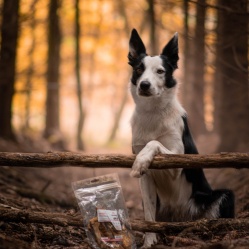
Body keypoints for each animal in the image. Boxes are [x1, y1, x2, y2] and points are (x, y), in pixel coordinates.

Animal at [127, 29, 234, 247]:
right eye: (139, 69)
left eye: (160, 71)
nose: (144, 85)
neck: (153, 113)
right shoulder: (146, 181)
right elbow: (148, 215)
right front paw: (149, 241)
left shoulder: (176, 162)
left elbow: (154, 142)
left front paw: (141, 160)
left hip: (223, 196)